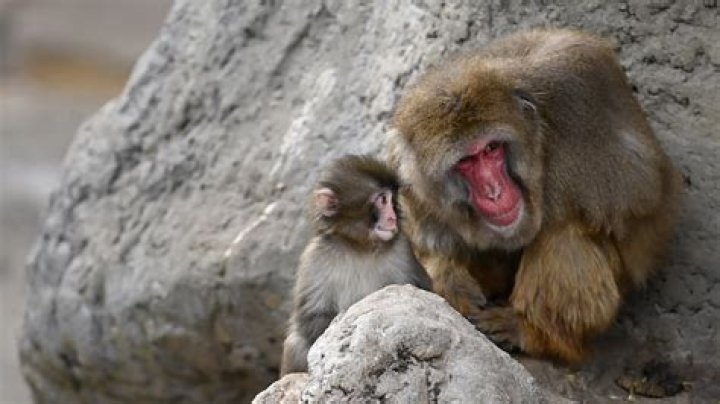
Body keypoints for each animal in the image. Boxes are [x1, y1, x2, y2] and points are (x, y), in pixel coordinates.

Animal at [280, 155, 432, 375]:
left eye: (392, 199)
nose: (392, 218)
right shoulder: (315, 258)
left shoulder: (402, 249)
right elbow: (312, 317)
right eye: (382, 200)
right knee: (296, 343)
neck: (360, 247)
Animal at [388, 29, 681, 363]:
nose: (494, 191)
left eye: (491, 149)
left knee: (562, 235)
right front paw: (449, 279)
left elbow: (636, 187)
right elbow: (427, 239)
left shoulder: (575, 95)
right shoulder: (406, 169)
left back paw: (534, 332)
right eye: (466, 161)